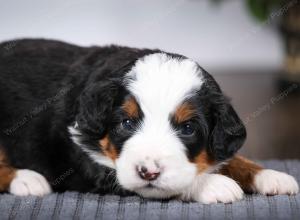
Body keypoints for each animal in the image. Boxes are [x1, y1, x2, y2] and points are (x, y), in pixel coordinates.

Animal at [0, 38, 298, 205]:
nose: (148, 171)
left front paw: (271, 176)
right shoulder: (92, 164)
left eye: (187, 128)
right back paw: (27, 179)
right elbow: (163, 185)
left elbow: (232, 159)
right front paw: (213, 184)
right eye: (127, 123)